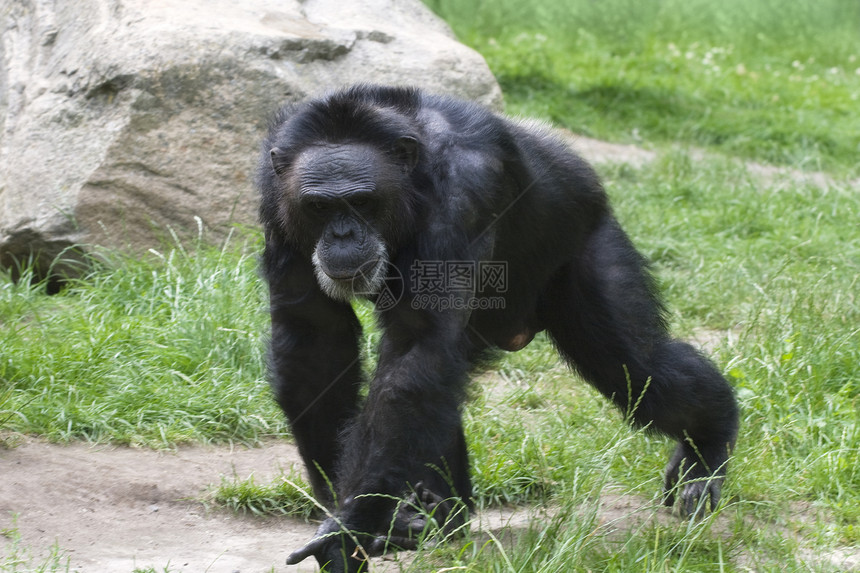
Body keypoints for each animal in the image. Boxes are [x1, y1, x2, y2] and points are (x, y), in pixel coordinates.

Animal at [255, 85, 740, 572]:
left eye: (361, 201)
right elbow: (315, 339)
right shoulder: (275, 201)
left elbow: (416, 348)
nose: (342, 235)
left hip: (589, 244)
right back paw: (433, 518)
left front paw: (348, 526)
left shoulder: (463, 194)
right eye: (319, 207)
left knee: (637, 369)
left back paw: (708, 449)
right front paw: (345, 513)